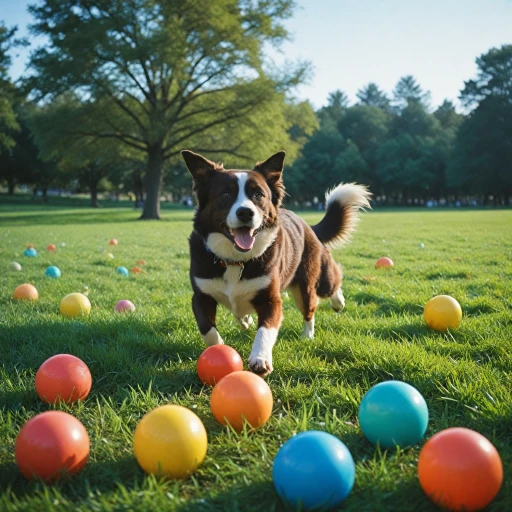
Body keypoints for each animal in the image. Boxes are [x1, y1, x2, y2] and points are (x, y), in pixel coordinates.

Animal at [182, 148, 370, 376]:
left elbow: (266, 330)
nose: (245, 212)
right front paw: (219, 349)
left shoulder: (271, 299)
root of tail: (307, 225)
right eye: (225, 194)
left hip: (309, 282)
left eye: (259, 194)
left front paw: (260, 359)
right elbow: (207, 329)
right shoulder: (201, 296)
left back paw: (323, 318)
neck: (235, 261)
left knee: (320, 296)